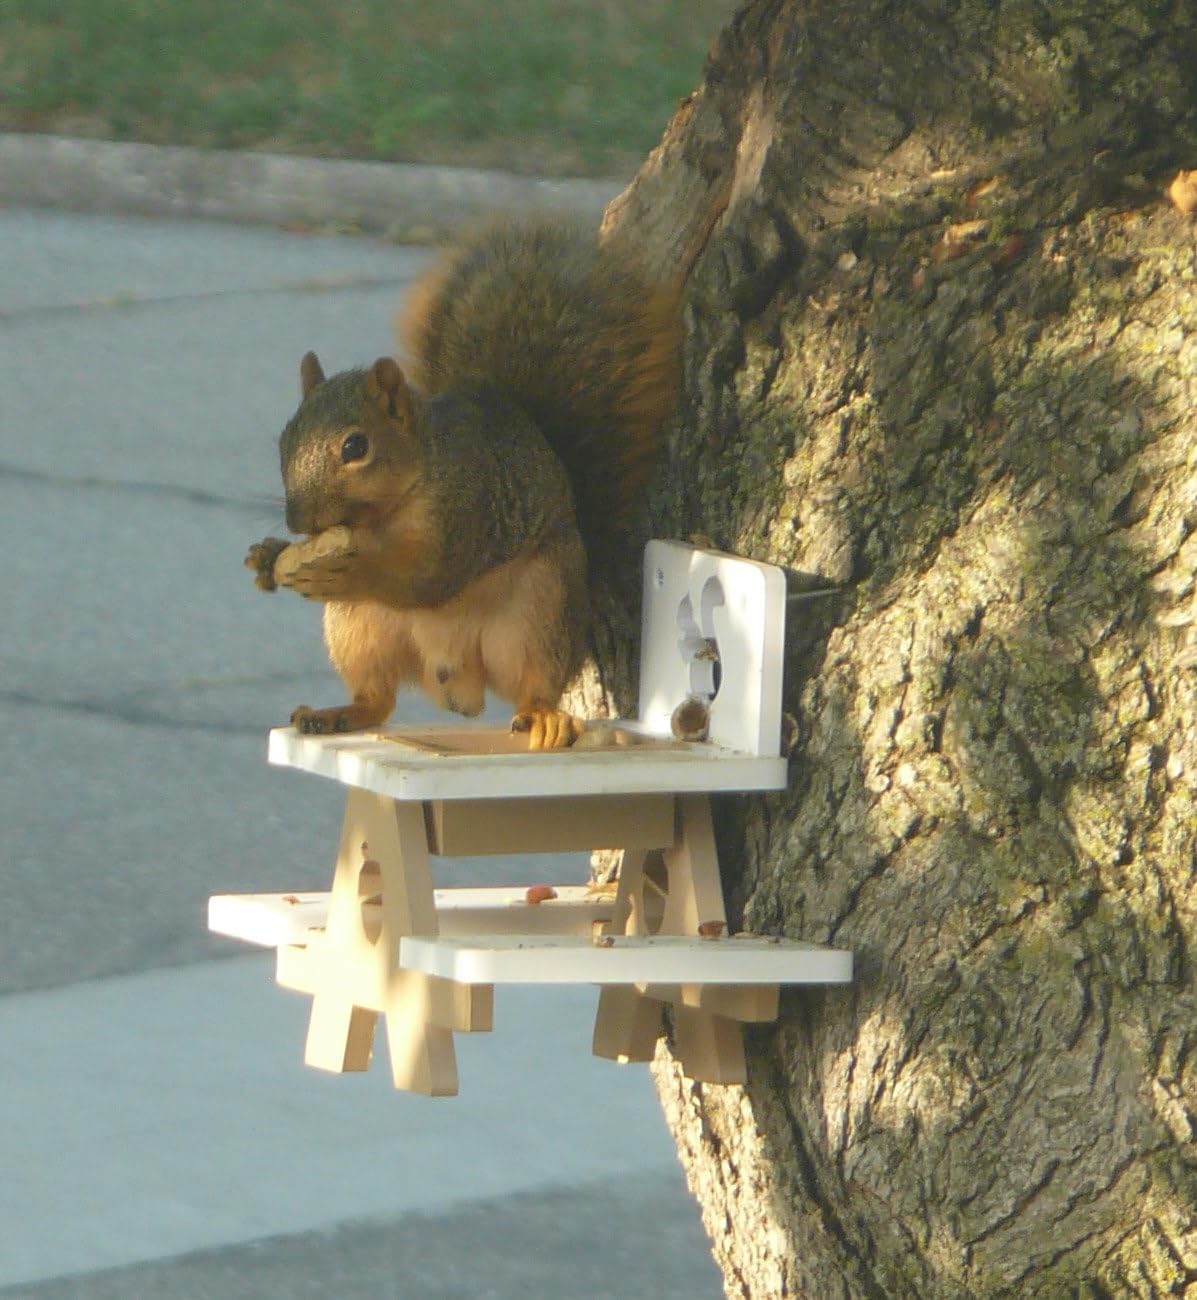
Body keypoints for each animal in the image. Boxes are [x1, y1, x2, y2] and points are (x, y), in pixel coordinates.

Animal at [245, 220, 682, 749]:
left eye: (355, 446)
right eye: (285, 439)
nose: (297, 521)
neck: (389, 510)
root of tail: (458, 682)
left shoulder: (469, 512)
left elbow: (428, 577)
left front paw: (347, 571)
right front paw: (267, 556)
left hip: (539, 611)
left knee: (535, 681)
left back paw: (545, 717)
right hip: (360, 629)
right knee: (378, 697)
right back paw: (338, 714)